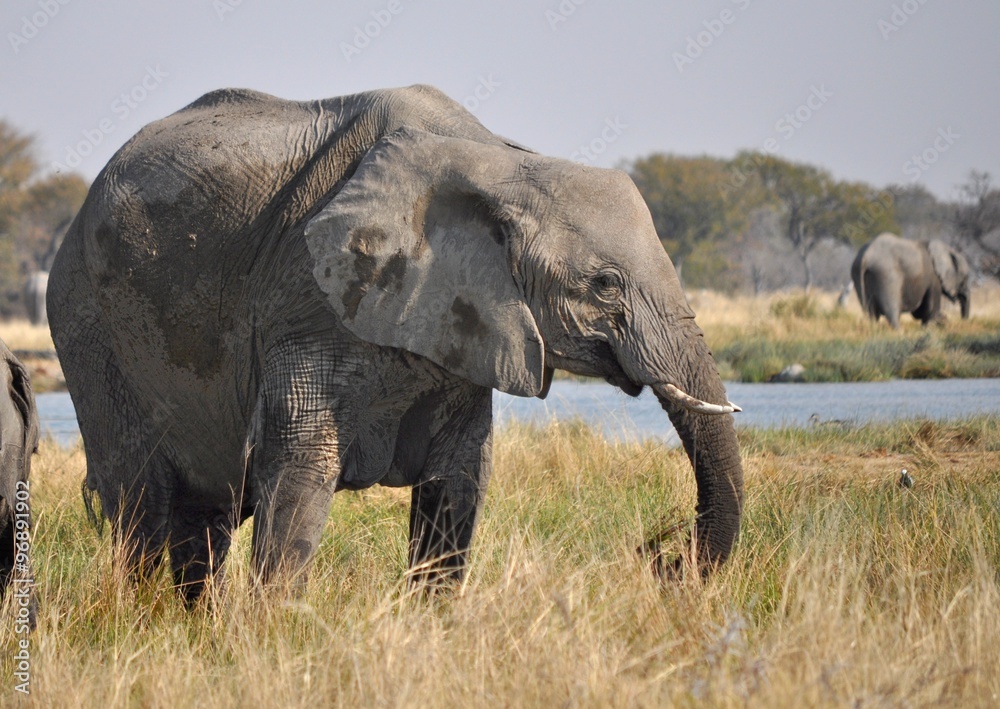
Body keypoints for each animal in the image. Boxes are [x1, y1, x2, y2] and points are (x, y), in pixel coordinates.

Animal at [48, 85, 743, 603]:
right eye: (603, 284)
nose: (663, 558)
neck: (501, 161)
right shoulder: (307, 296)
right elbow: (298, 467)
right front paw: (276, 638)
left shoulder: (465, 328)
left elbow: (460, 478)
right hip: (88, 328)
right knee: (144, 502)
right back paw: (141, 621)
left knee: (203, 514)